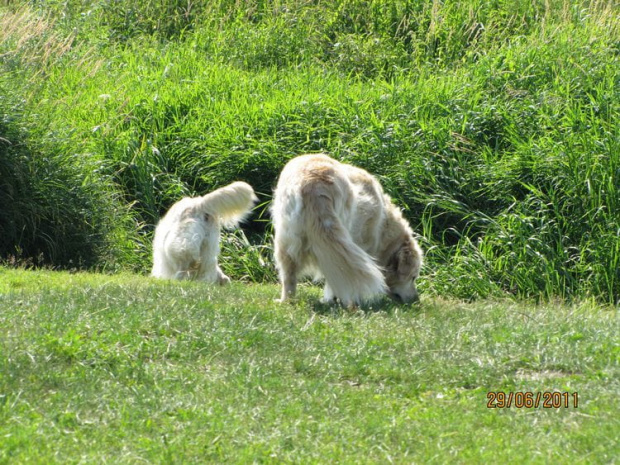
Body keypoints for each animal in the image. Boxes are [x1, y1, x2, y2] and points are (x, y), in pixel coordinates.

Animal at [272, 154, 422, 306]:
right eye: (413, 277)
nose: (416, 300)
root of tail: (312, 182)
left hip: (286, 240)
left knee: (288, 275)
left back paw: (286, 301)